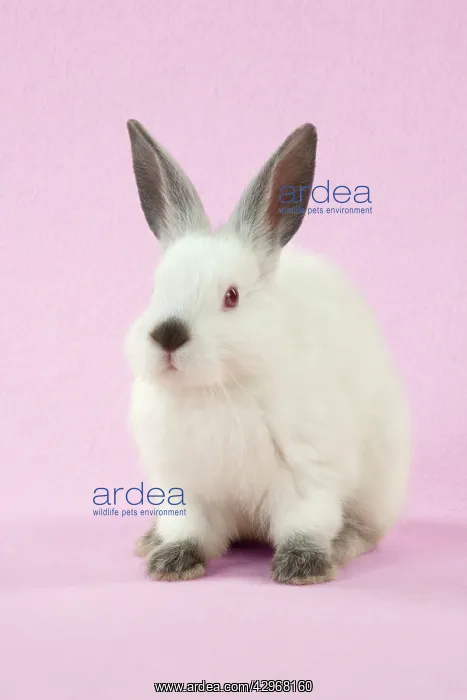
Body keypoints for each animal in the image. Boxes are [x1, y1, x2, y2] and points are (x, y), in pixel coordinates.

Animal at [124, 119, 411, 585]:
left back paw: (344, 545)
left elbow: (305, 525)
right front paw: (172, 562)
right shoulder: (183, 489)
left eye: (232, 296)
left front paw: (301, 569)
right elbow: (188, 530)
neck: (216, 389)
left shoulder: (307, 477)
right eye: (154, 289)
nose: (168, 336)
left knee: (367, 530)